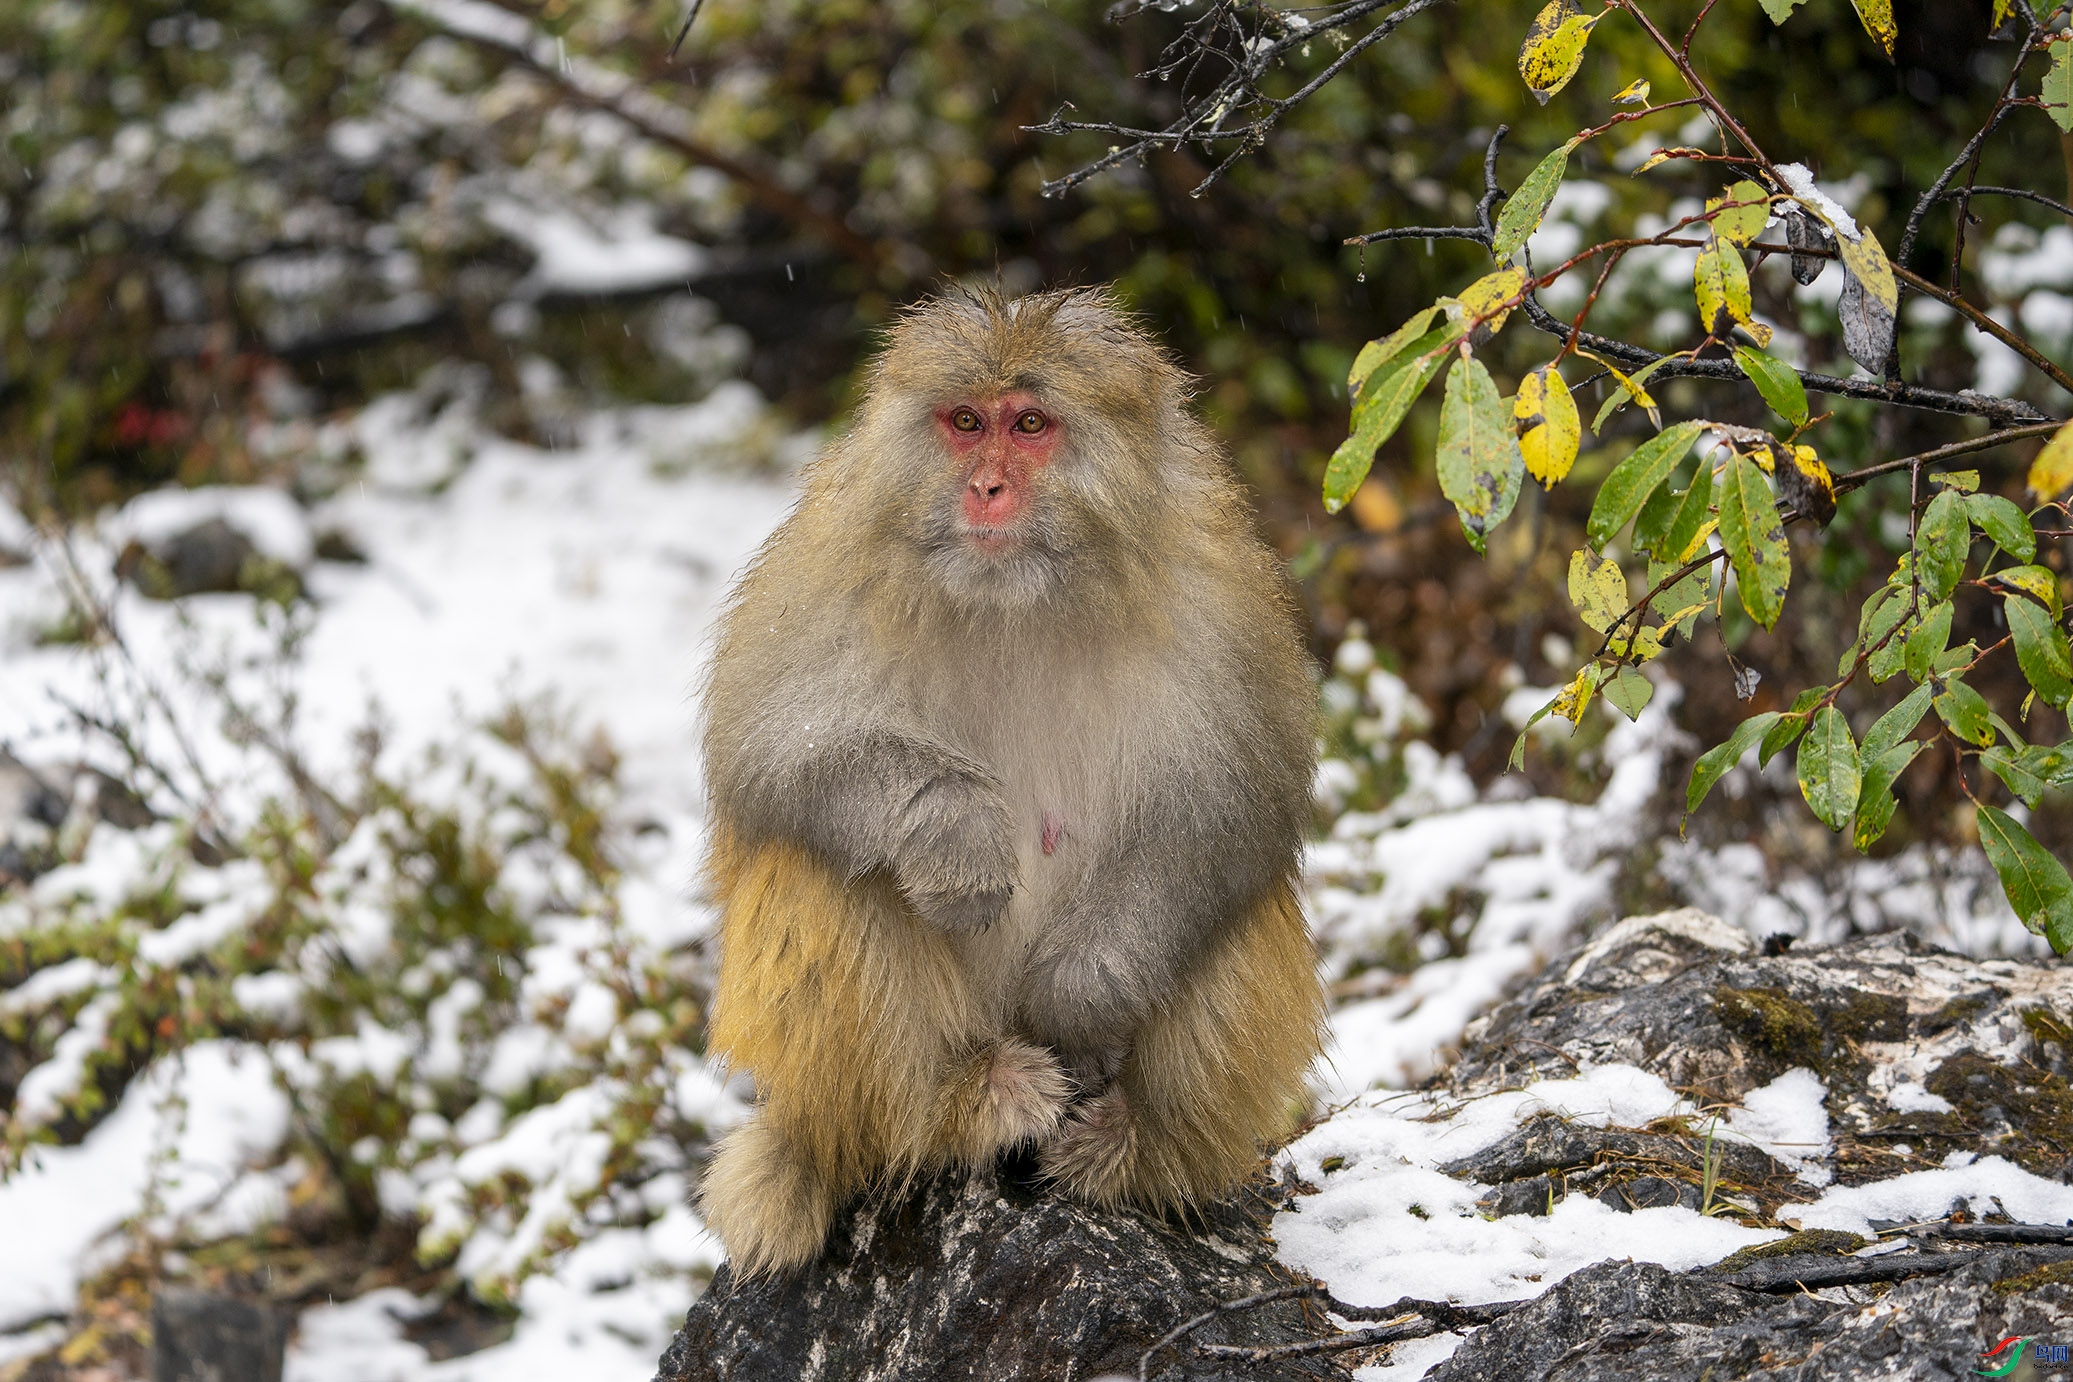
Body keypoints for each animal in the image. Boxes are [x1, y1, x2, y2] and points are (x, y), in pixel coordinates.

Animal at [700, 285, 1326, 1284]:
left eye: (1029, 424)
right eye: (965, 423)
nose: (985, 488)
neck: (1017, 596)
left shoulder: (1218, 583)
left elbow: (1239, 797)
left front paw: (1081, 993)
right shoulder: (834, 553)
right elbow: (766, 750)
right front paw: (954, 833)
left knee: (1232, 903)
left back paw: (1137, 1147)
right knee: (826, 865)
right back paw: (952, 1105)